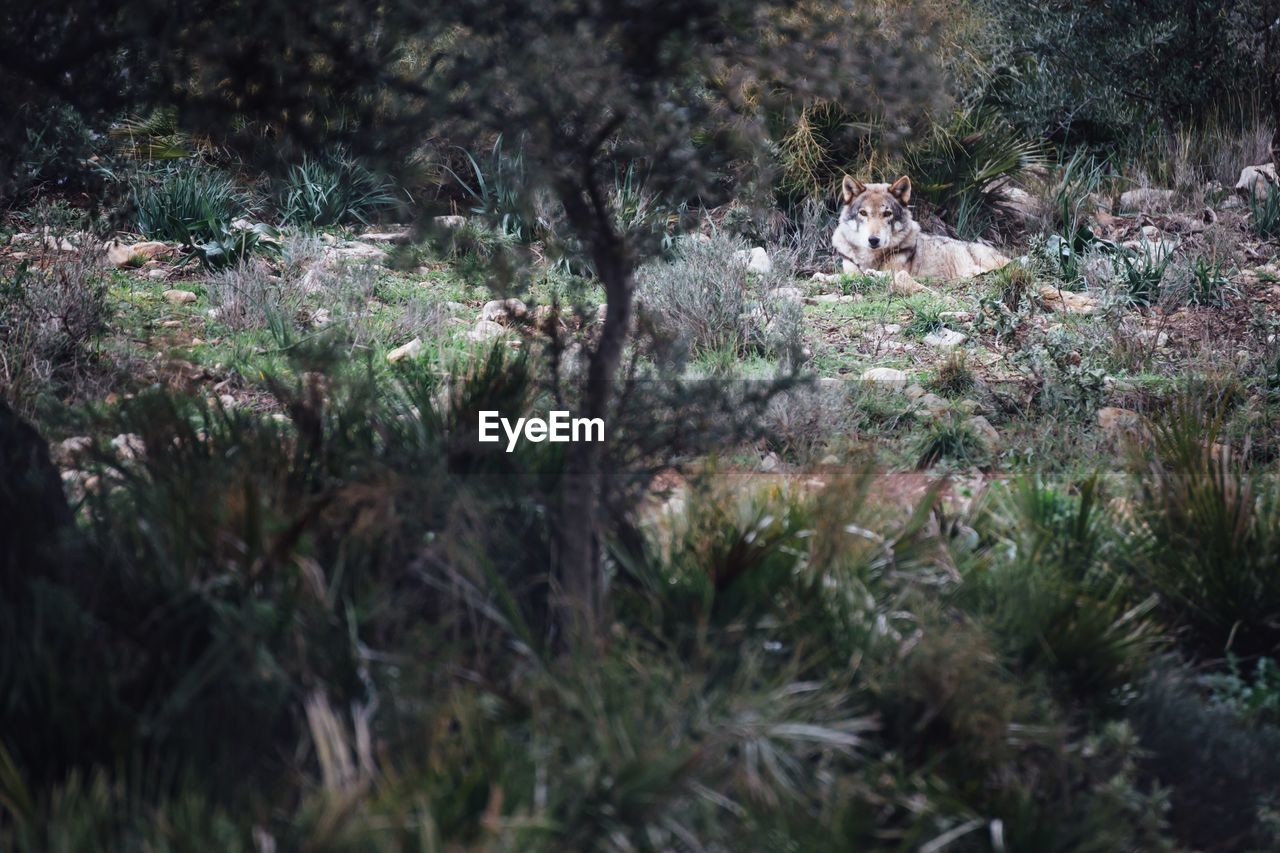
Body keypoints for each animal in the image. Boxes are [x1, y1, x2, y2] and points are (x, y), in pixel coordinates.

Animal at [829, 174, 1008, 280]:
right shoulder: (849, 269)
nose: (873, 240)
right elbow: (840, 276)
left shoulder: (901, 271)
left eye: (887, 214)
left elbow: (881, 273)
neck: (870, 258)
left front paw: (872, 273)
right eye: (863, 213)